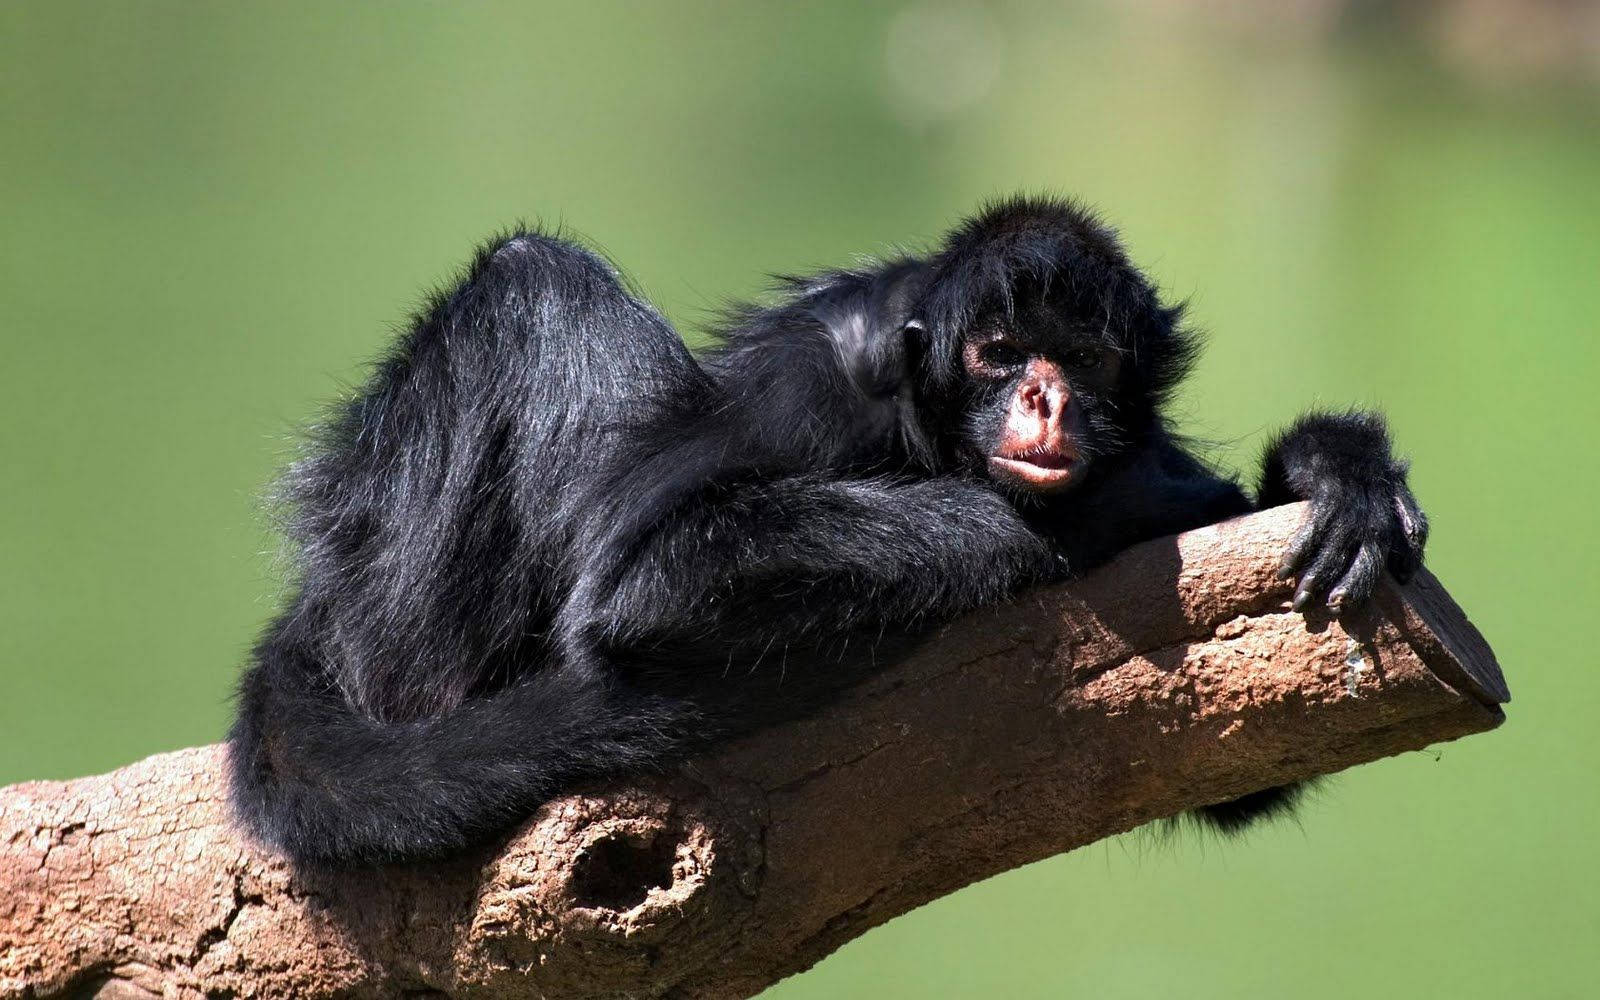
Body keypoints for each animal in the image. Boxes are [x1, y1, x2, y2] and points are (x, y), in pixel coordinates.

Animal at [225, 196, 1427, 864]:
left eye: (1082, 359)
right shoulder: (819, 381)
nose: (1045, 398)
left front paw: (1334, 468)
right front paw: (1104, 509)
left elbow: (1240, 773)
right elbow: (644, 578)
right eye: (998, 353)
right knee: (534, 276)